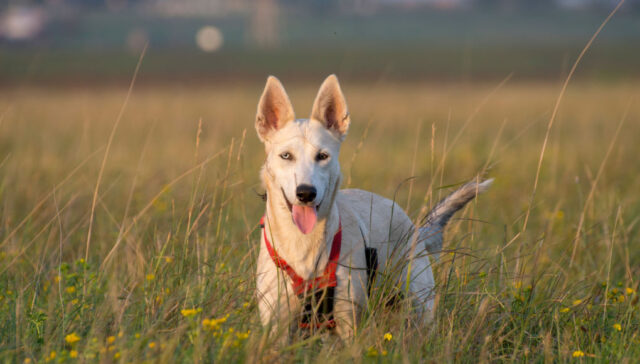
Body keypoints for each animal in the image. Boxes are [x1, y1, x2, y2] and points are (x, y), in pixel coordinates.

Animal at [254, 75, 490, 340]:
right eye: (286, 156)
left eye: (322, 156)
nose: (306, 193)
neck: (303, 244)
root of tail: (415, 229)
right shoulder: (276, 327)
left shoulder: (348, 324)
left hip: (418, 309)